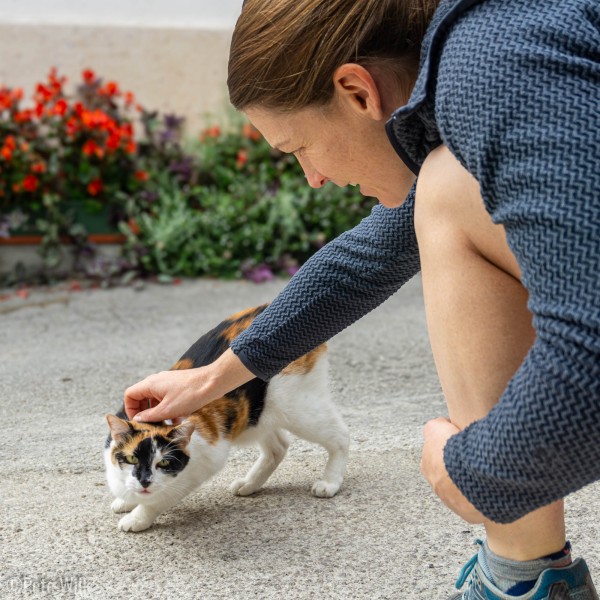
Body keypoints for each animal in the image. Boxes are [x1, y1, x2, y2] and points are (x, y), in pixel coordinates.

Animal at [102, 308, 346, 532]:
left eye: (164, 463)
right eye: (132, 459)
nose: (145, 481)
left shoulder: (198, 467)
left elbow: (159, 500)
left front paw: (137, 518)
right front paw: (126, 500)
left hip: (299, 407)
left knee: (340, 436)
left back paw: (330, 482)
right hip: (256, 417)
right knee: (279, 446)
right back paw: (249, 484)